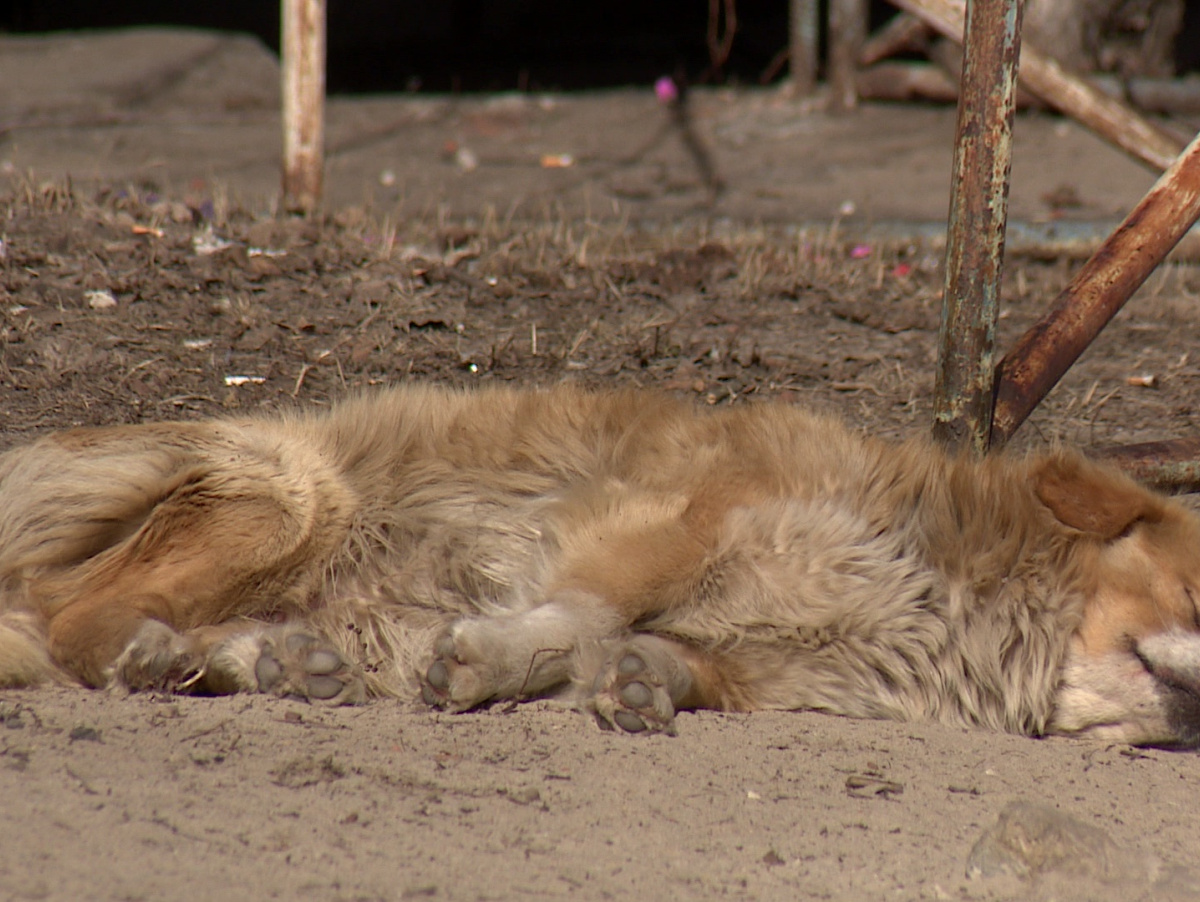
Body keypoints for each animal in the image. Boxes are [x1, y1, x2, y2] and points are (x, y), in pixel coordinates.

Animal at [2, 383, 1200, 743]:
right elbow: (578, 611)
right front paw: (488, 659)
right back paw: (155, 655)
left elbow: (667, 661)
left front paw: (640, 683)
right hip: (287, 489)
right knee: (67, 612)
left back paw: (277, 662)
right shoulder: (674, 518)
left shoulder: (768, 671)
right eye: (1196, 587)